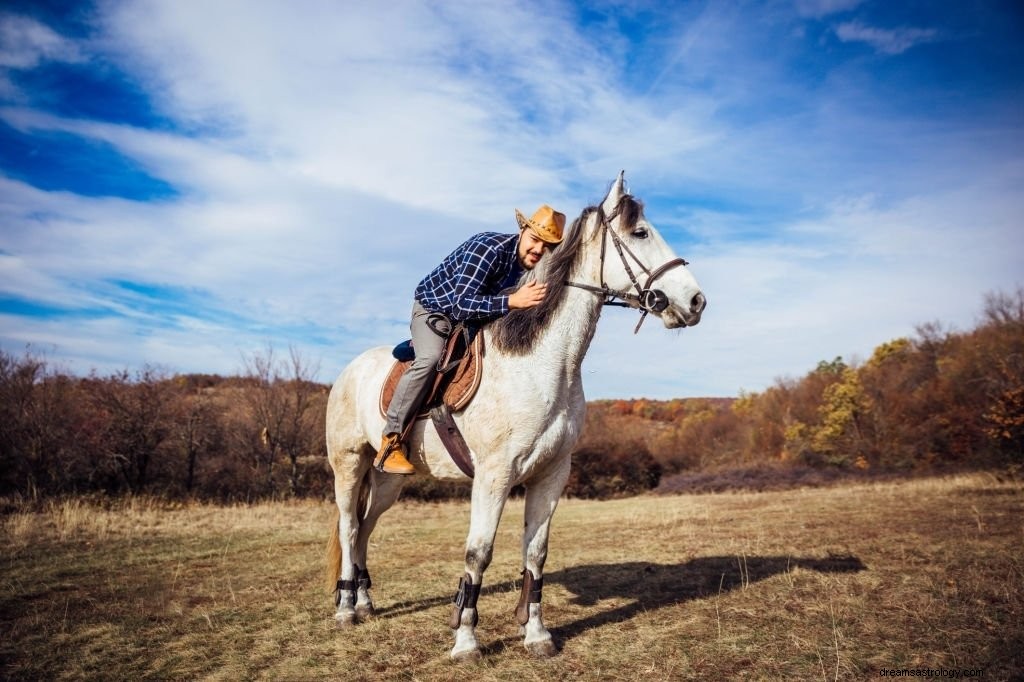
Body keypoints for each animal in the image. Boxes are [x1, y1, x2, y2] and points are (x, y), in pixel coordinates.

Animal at [325, 169, 704, 659]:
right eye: (640, 232)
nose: (695, 301)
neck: (542, 364)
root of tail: (346, 373)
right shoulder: (494, 475)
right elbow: (478, 553)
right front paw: (466, 641)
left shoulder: (551, 474)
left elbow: (535, 555)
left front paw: (537, 634)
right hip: (349, 466)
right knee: (350, 528)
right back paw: (346, 608)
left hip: (389, 478)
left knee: (366, 529)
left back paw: (365, 600)